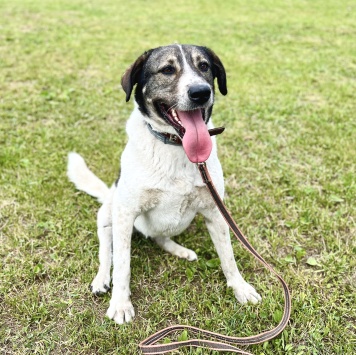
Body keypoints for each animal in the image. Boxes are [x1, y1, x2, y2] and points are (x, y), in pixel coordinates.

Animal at [67, 44, 262, 326]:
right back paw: (102, 278)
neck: (176, 146)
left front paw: (240, 288)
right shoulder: (125, 214)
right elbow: (122, 265)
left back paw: (180, 251)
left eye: (204, 66)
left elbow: (228, 257)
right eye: (167, 70)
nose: (201, 92)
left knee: (161, 237)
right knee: (107, 250)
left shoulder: (216, 212)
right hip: (108, 213)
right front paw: (120, 304)